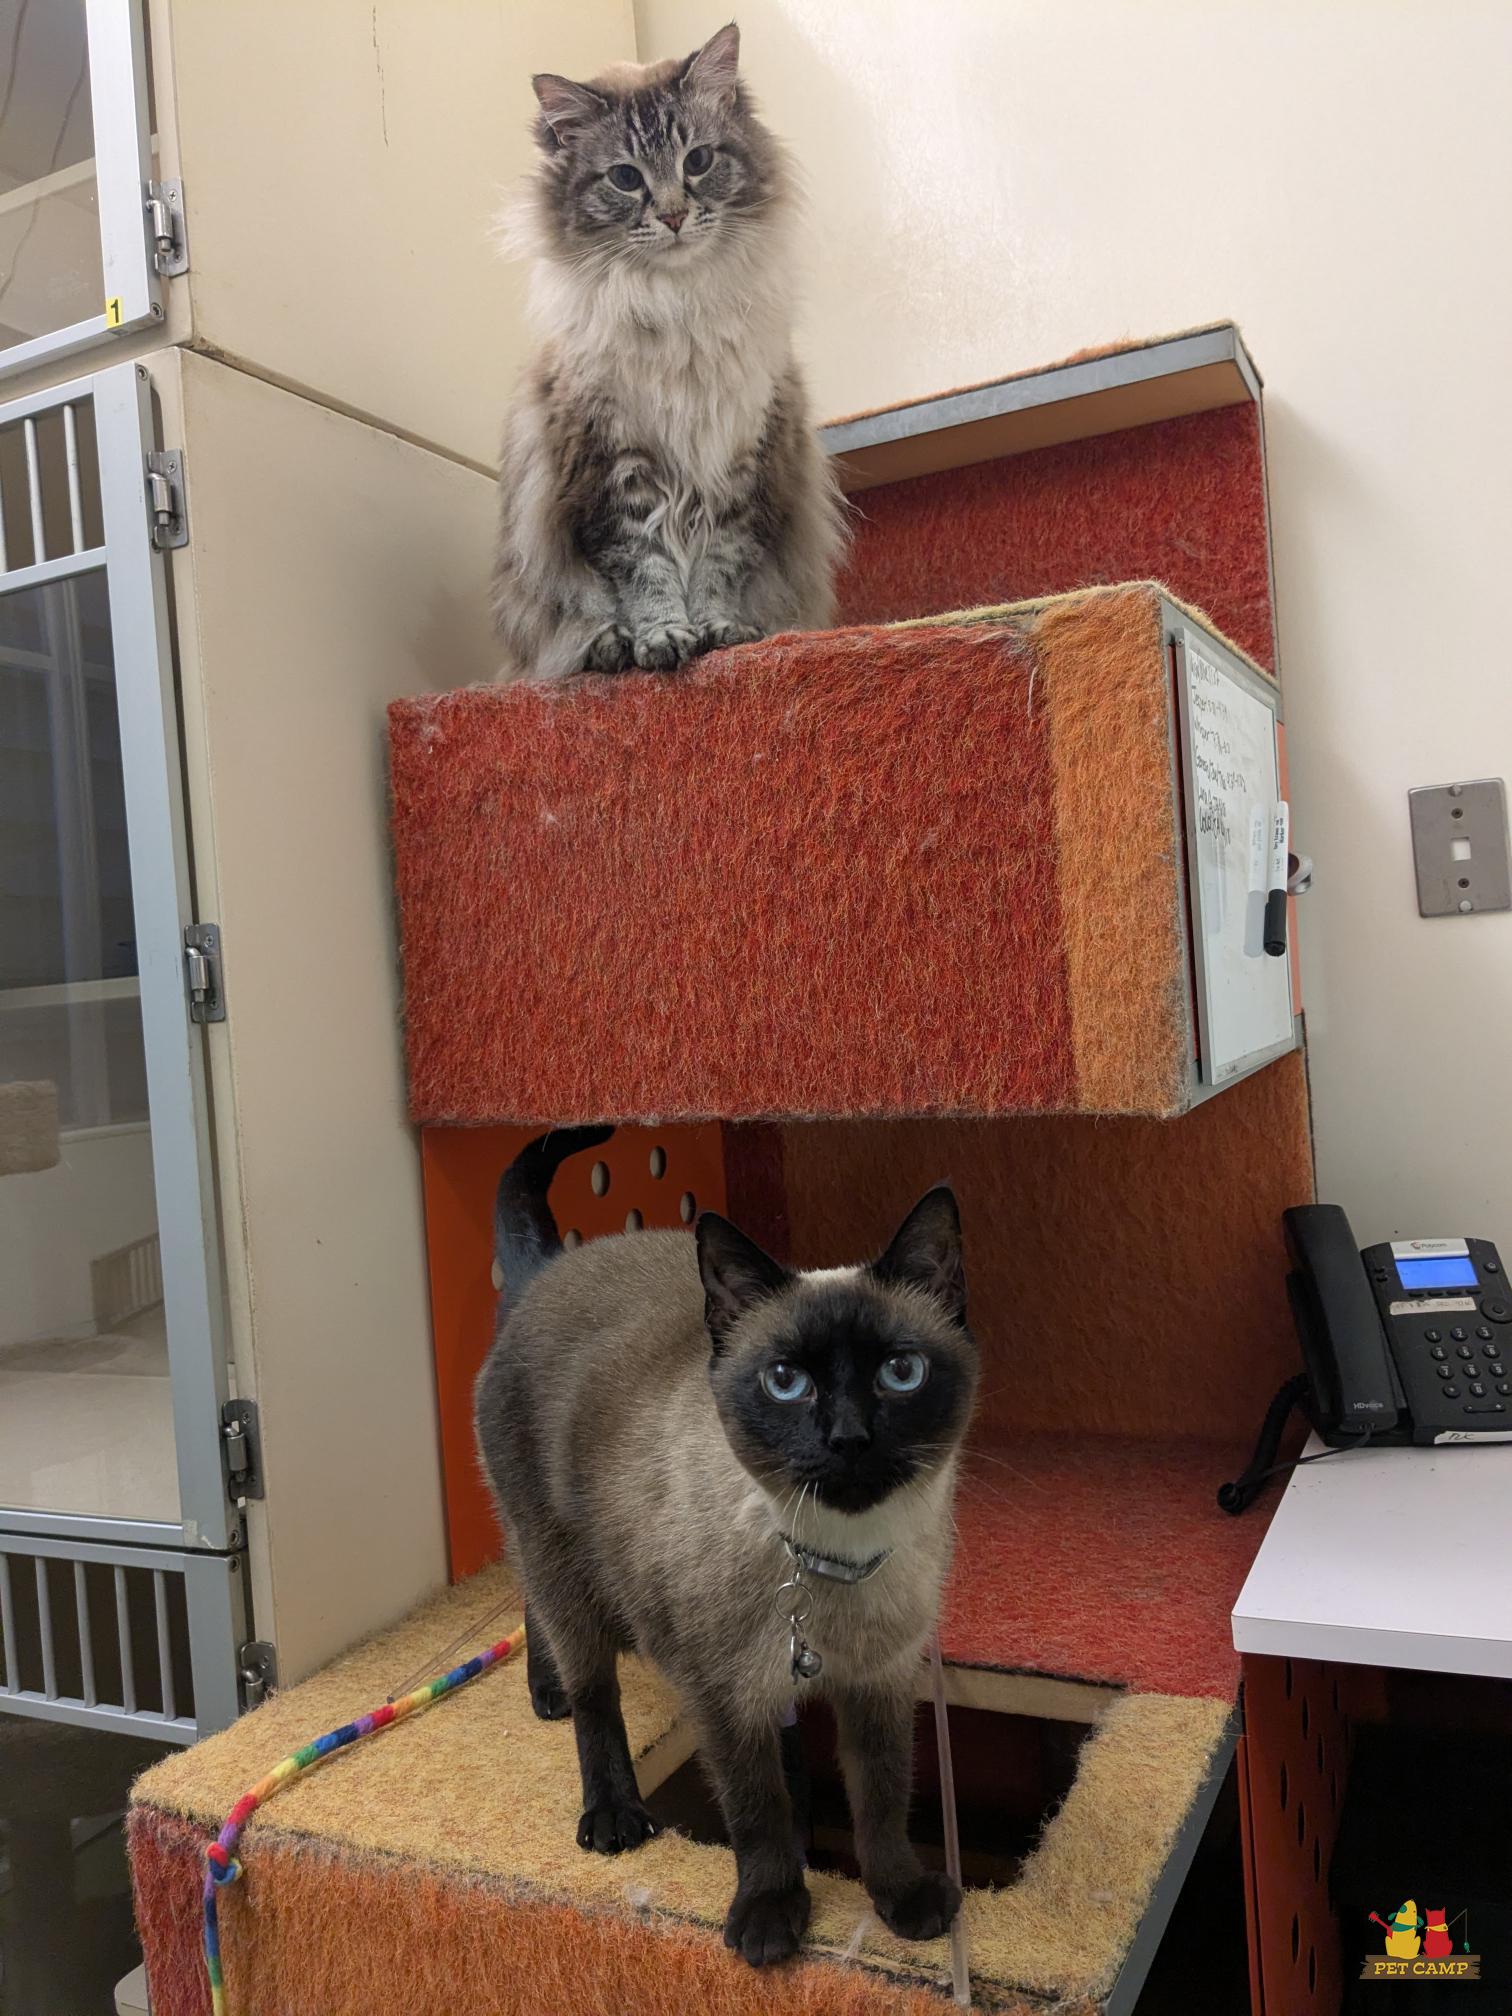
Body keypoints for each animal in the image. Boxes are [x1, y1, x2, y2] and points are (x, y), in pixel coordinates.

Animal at [475, 1127, 977, 1969]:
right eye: (785, 1382)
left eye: (900, 1373)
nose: (847, 1440)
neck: (833, 1562)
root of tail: (553, 1267)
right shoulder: (724, 1701)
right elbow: (757, 1813)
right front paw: (771, 1920)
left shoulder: (879, 1683)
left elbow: (882, 1802)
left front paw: (901, 1899)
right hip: (554, 1549)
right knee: (586, 1677)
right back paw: (600, 1791)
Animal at [492, 22, 845, 682]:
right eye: (626, 178)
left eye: (698, 161)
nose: (676, 216)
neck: (678, 303)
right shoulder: (614, 468)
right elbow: (643, 571)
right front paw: (663, 639)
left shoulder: (742, 463)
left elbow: (719, 565)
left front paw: (719, 632)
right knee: (575, 630)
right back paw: (610, 649)